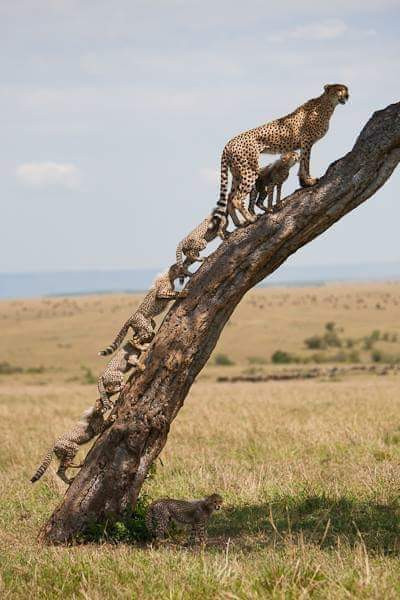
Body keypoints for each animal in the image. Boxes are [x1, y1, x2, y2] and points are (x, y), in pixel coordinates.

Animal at [212, 84, 350, 237]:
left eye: (346, 89)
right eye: (339, 90)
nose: (347, 96)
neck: (327, 105)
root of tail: (228, 143)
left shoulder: (303, 144)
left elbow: (302, 163)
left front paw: (303, 182)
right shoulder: (307, 141)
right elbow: (306, 162)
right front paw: (309, 181)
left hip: (237, 172)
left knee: (230, 197)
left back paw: (239, 222)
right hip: (250, 170)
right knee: (236, 198)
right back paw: (251, 218)